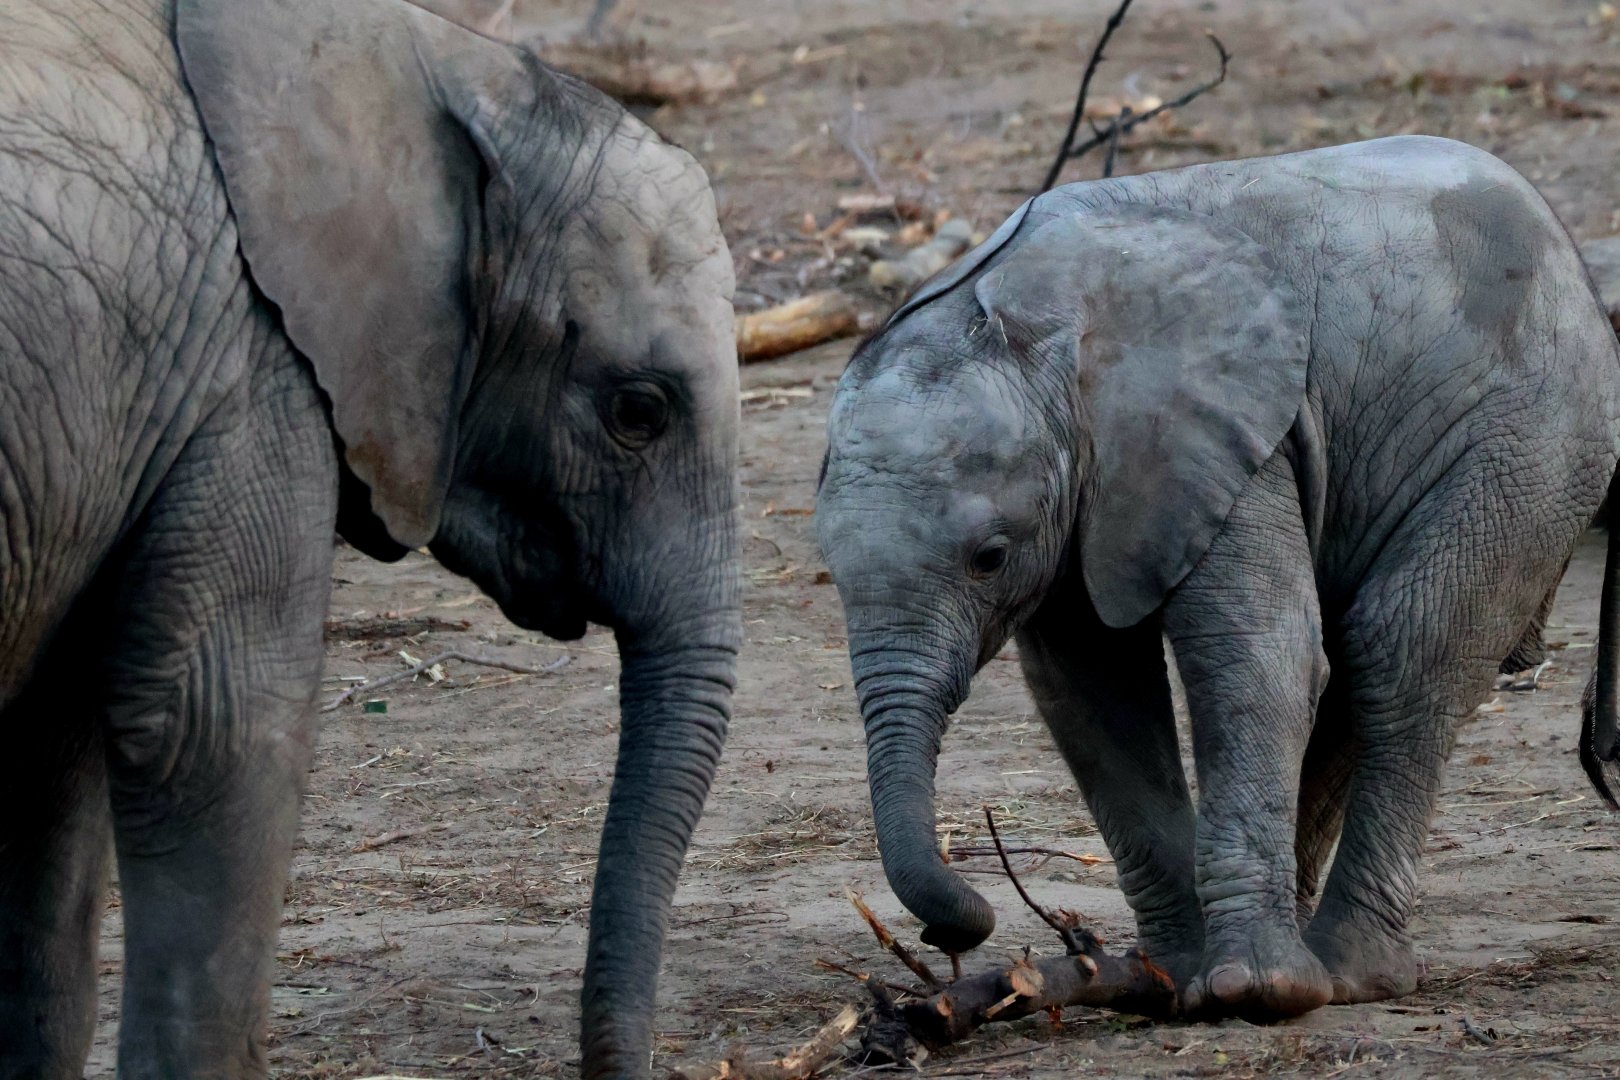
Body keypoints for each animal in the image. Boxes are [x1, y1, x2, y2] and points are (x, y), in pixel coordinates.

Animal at [814, 135, 1620, 1021]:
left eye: (987, 557)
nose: (954, 931)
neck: (1026, 317)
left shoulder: (1226, 438)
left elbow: (1254, 657)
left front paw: (1252, 991)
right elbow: (1092, 695)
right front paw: (1168, 981)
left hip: (1531, 440)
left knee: (1404, 650)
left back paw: (1347, 974)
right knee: (1354, 666)